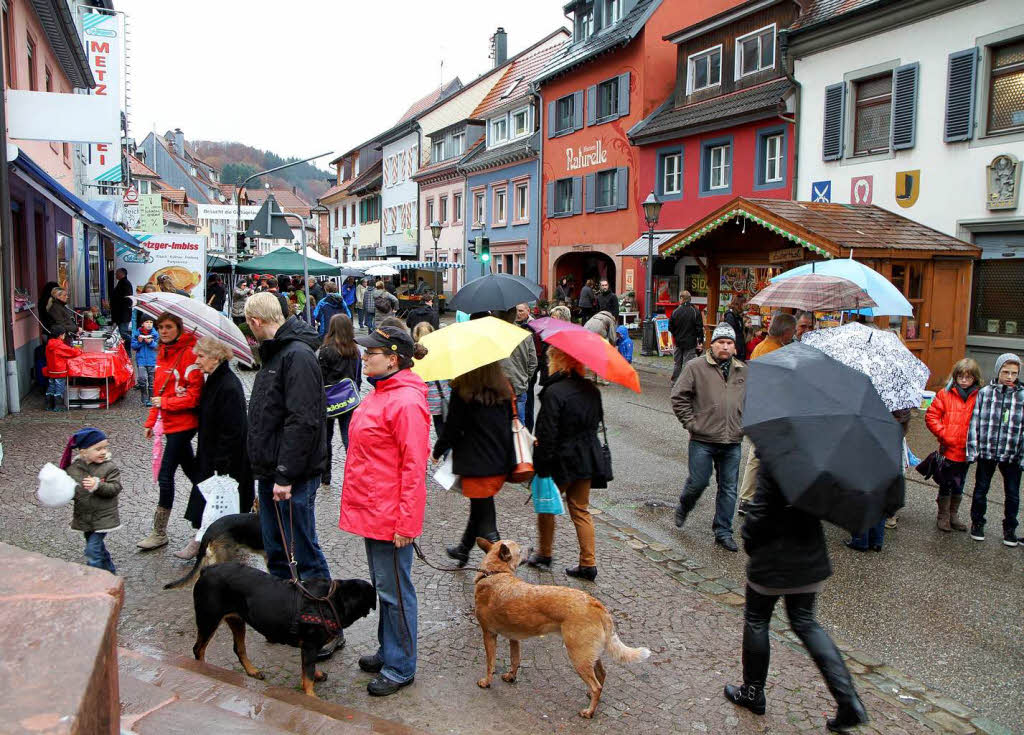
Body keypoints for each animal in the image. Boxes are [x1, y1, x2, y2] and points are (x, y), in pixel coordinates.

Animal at [192, 560, 376, 700]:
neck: (331, 601)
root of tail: (207, 569)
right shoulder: (309, 645)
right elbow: (308, 674)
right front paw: (311, 696)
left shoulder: (308, 647)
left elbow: (307, 668)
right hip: (209, 619)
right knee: (198, 649)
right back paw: (203, 670)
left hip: (237, 620)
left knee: (239, 648)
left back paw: (253, 672)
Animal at [471, 536, 647, 720]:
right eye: (520, 550)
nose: (532, 547)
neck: (495, 573)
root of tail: (596, 604)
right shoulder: (514, 638)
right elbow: (515, 660)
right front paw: (511, 676)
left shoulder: (489, 634)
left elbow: (490, 664)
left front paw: (486, 682)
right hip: (590, 653)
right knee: (602, 674)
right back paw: (591, 697)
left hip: (578, 656)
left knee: (596, 685)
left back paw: (589, 711)